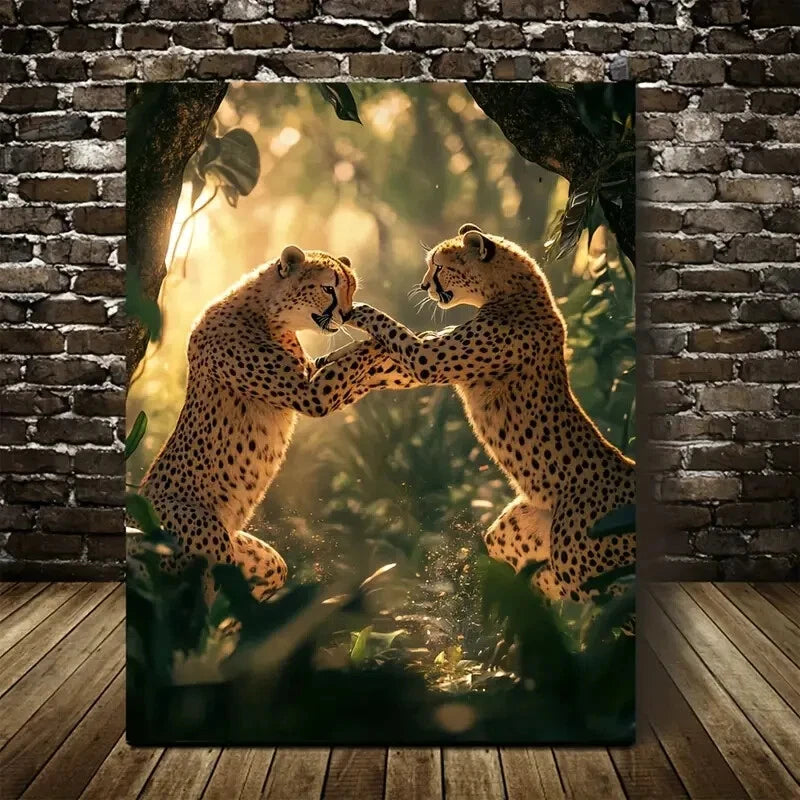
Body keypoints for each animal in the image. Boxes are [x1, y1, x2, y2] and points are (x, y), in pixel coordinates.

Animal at [131, 245, 420, 602]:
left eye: (352, 288)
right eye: (329, 288)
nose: (347, 313)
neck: (267, 312)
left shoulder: (312, 371)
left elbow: (356, 366)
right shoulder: (311, 393)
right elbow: (358, 357)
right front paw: (390, 337)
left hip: (259, 561)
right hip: (208, 541)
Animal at [331, 224, 636, 607]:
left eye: (439, 266)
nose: (423, 285)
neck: (512, 291)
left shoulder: (428, 359)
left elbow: (389, 328)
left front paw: (356, 310)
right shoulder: (431, 354)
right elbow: (382, 360)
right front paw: (329, 369)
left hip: (580, 567)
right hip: (521, 538)